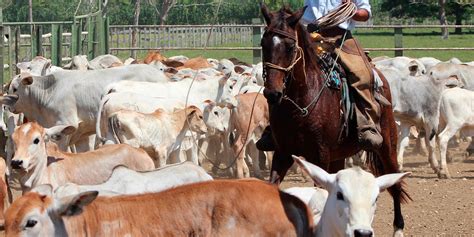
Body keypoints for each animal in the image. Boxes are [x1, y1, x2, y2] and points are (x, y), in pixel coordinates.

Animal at [262, 4, 410, 236]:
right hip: (338, 155)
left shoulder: (319, 154)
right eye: (263, 44)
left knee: (395, 183)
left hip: (387, 145)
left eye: (290, 47)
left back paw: (398, 228)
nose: (272, 93)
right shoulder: (282, 153)